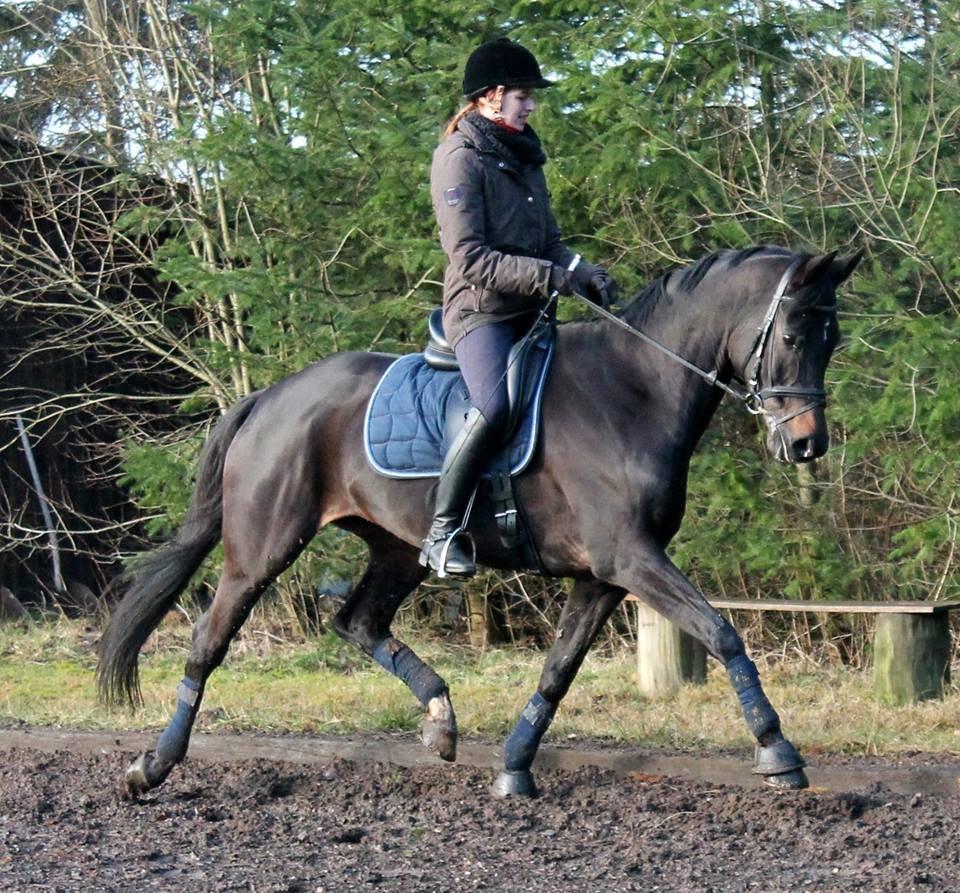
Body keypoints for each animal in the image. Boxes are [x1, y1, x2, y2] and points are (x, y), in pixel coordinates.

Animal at [97, 244, 864, 796]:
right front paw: (778, 750)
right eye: (793, 332)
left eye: (833, 338)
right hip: (263, 546)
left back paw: (440, 719)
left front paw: (515, 766)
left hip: (397, 546)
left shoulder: (604, 574)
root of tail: (271, 397)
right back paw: (151, 767)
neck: (634, 391)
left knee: (358, 621)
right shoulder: (629, 557)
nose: (807, 445)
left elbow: (559, 669)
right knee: (210, 638)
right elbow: (721, 632)